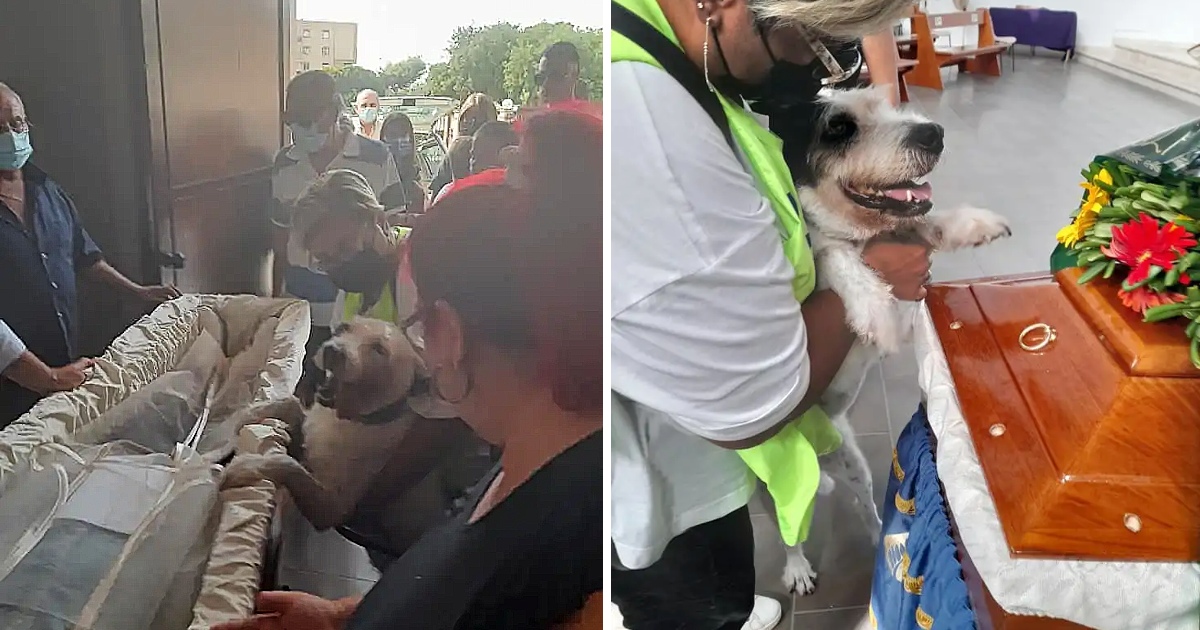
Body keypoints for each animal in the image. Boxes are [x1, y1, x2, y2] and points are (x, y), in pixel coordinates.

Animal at [225, 319, 477, 559]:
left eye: (379, 349)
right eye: (343, 328)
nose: (333, 351)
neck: (352, 420)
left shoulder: (331, 509)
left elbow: (288, 464)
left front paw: (246, 467)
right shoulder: (309, 429)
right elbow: (290, 404)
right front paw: (249, 412)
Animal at [763, 87, 1008, 595]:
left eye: (891, 106)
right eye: (838, 128)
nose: (932, 133)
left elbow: (924, 225)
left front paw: (970, 224)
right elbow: (832, 253)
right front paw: (870, 302)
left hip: (853, 463)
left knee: (864, 506)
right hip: (775, 485)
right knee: (789, 531)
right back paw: (797, 567)